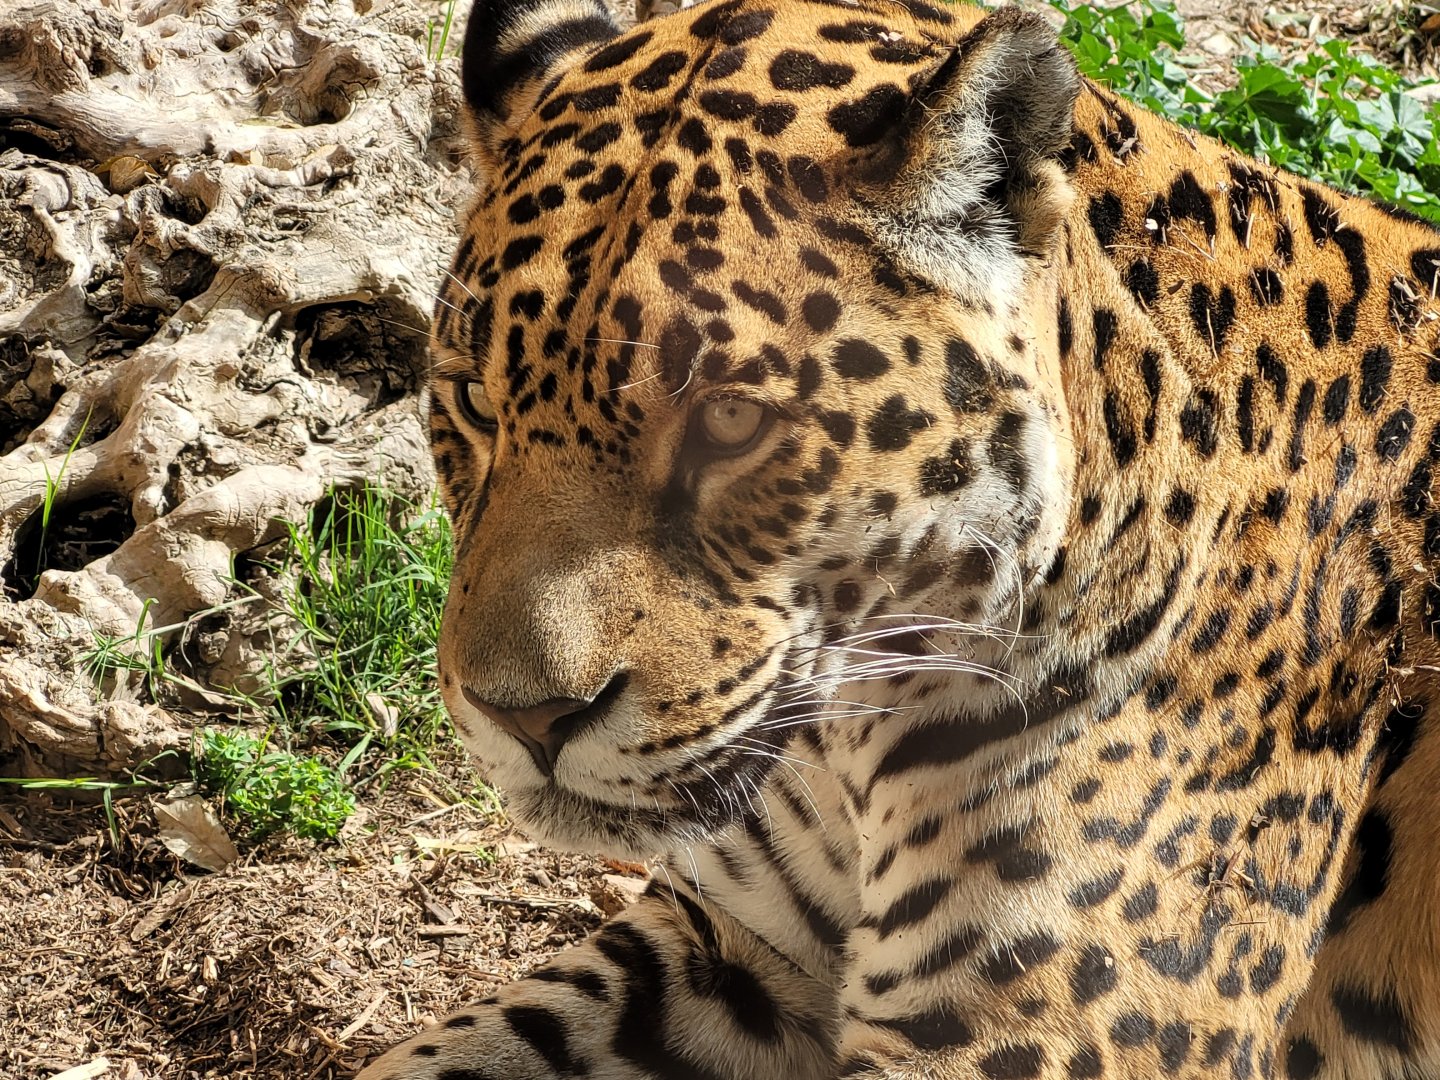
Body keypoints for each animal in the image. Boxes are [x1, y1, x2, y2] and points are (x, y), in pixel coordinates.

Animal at [357, 0, 1440, 1077]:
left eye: (730, 422)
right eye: (471, 400)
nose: (526, 721)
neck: (847, 741)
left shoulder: (1015, 1044)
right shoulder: (733, 944)